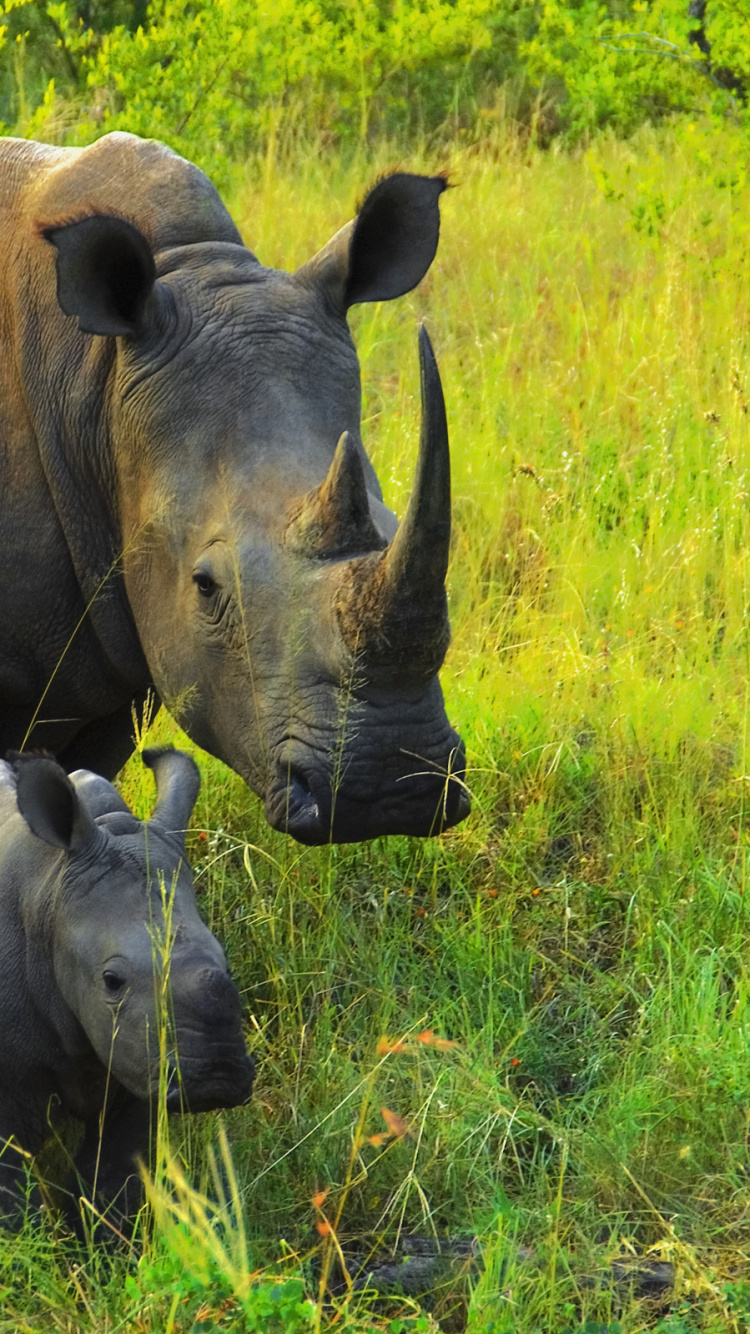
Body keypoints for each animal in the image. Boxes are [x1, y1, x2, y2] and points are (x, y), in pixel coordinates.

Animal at [0, 747, 254, 1227]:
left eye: (226, 961)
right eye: (111, 981)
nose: (217, 1078)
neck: (52, 886)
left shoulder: (143, 1057)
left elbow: (113, 1176)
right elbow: (11, 1196)